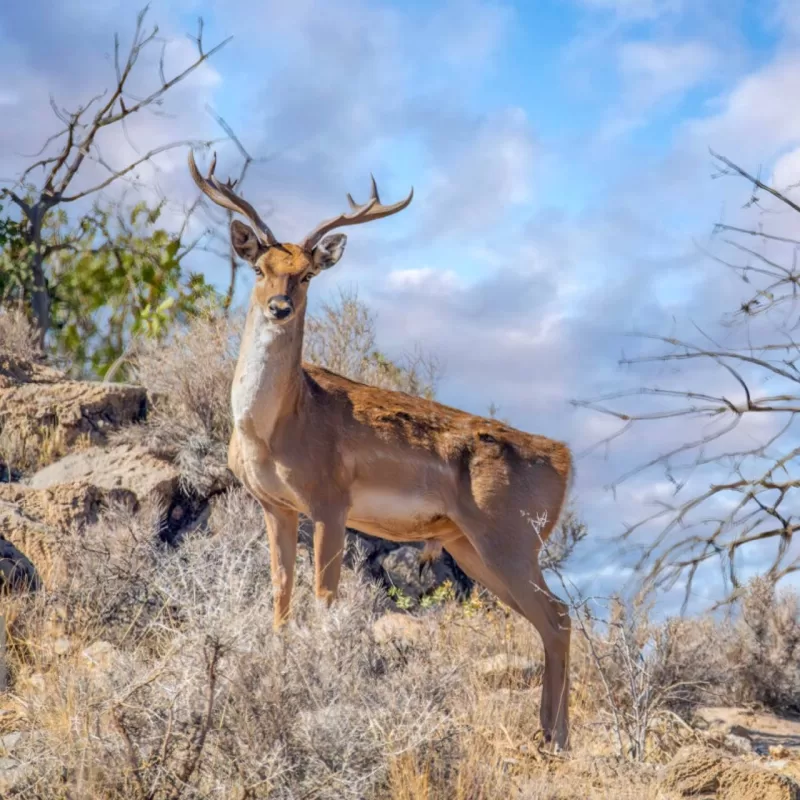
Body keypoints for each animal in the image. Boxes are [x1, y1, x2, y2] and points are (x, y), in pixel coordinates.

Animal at [188, 152, 576, 752]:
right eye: (259, 268)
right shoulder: (276, 506)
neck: (274, 426)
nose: (279, 307)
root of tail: (564, 458)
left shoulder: (330, 502)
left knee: (558, 617)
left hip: (511, 538)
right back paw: (551, 734)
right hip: (470, 546)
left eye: (306, 273)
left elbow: (325, 599)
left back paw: (554, 738)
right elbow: (280, 597)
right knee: (553, 618)